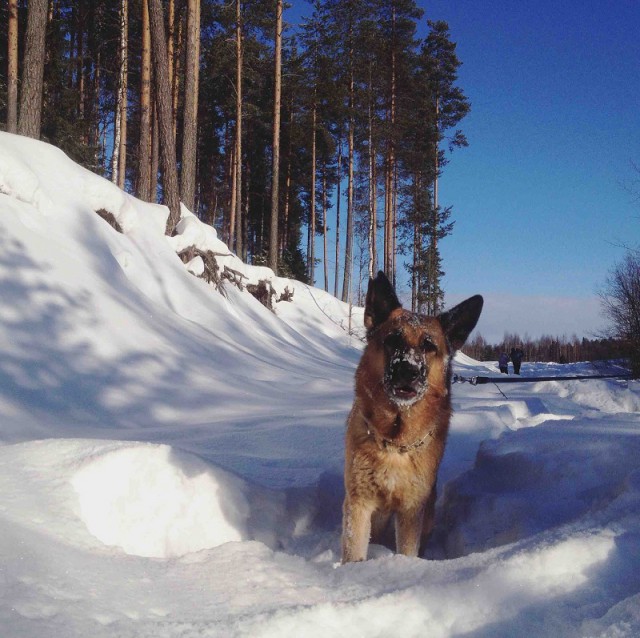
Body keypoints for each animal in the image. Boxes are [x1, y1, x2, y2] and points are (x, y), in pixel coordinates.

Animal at [342, 272, 482, 564]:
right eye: (393, 340)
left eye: (429, 346)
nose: (408, 370)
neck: (395, 441)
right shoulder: (358, 504)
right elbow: (353, 552)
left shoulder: (411, 511)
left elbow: (408, 550)